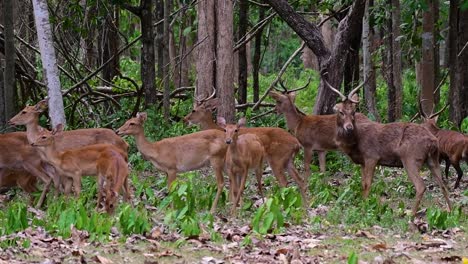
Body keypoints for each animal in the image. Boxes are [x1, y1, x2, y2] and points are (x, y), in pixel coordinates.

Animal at [324, 77, 452, 214]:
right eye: (341, 112)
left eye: (353, 112)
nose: (349, 127)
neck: (355, 143)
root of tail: (433, 141)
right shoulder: (363, 162)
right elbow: (362, 183)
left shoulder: (372, 156)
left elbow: (367, 184)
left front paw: (365, 207)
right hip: (433, 159)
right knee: (443, 185)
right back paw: (451, 211)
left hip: (411, 158)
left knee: (421, 186)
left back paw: (411, 214)